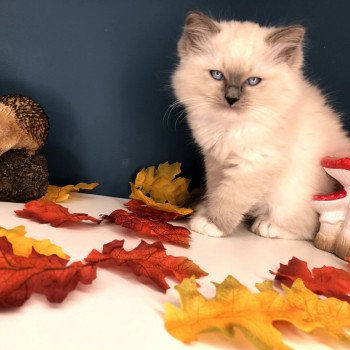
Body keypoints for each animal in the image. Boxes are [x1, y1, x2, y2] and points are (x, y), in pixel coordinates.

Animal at [172, 11, 350, 241]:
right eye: (217, 75)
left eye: (253, 81)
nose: (231, 99)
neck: (229, 127)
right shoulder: (216, 161)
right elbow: (216, 190)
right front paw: (206, 211)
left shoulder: (254, 162)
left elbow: (229, 197)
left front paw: (212, 224)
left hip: (292, 195)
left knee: (308, 226)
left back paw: (267, 225)